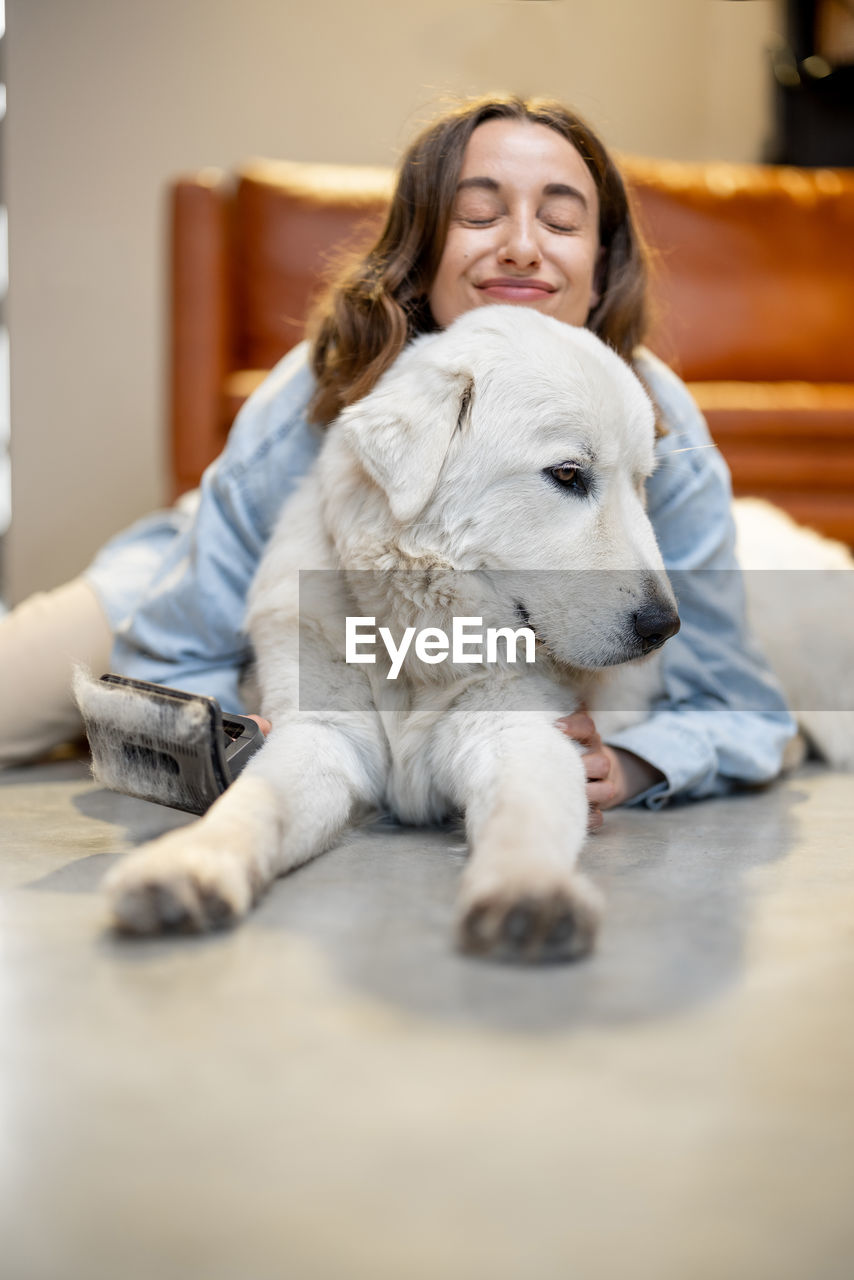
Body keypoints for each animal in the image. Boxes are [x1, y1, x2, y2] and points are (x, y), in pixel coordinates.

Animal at [101, 307, 686, 962]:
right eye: (567, 474)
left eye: (641, 483)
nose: (665, 626)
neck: (419, 637)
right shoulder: (323, 733)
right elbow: (256, 802)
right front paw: (189, 866)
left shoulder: (513, 731)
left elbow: (525, 815)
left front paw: (529, 894)